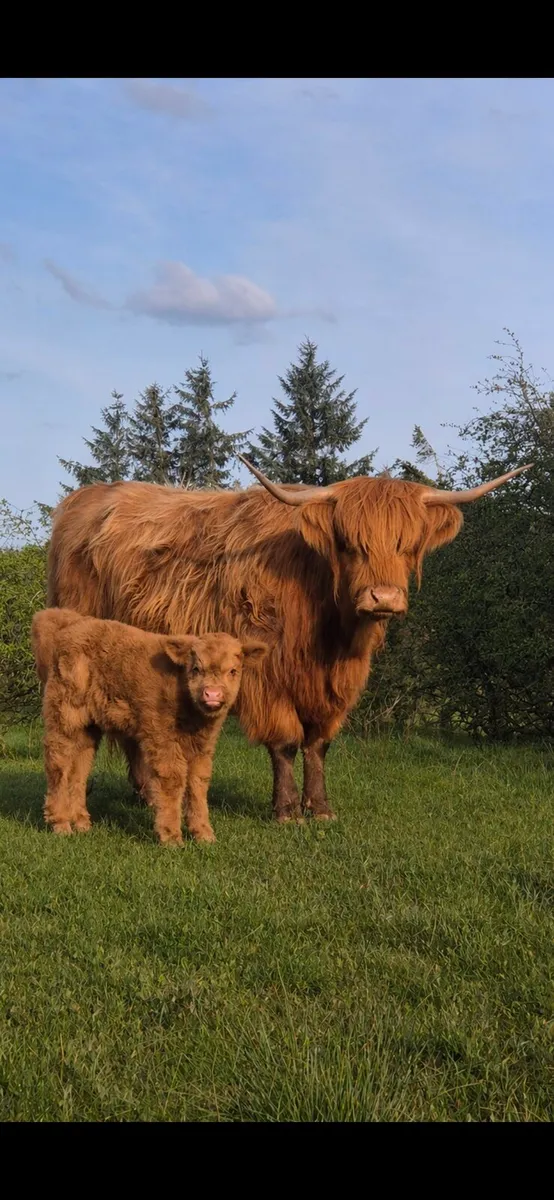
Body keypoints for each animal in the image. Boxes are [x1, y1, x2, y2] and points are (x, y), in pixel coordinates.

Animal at [31, 607, 267, 844]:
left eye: (233, 671)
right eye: (196, 669)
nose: (212, 694)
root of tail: (70, 622)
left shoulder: (203, 747)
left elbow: (198, 782)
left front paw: (204, 834)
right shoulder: (161, 737)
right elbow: (172, 779)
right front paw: (171, 836)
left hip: (88, 728)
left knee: (79, 769)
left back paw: (81, 823)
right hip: (65, 716)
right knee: (58, 763)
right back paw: (61, 823)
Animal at [46, 458, 531, 824]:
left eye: (407, 544)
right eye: (348, 544)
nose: (384, 598)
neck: (330, 637)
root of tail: (84, 499)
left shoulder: (335, 688)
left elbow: (318, 744)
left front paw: (320, 808)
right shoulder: (265, 675)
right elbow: (285, 741)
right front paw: (286, 810)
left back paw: (147, 792)